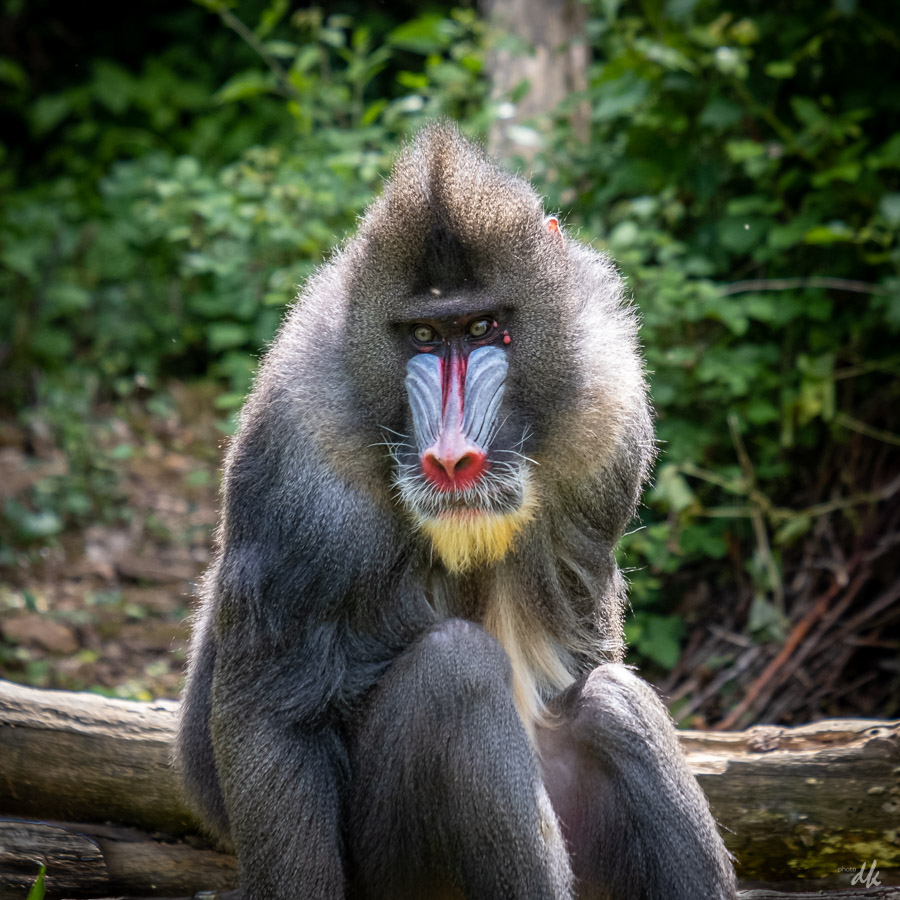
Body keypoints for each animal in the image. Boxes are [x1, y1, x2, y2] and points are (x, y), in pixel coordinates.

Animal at [176, 122, 737, 900]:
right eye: (422, 338)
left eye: (481, 328)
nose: (451, 459)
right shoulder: (301, 458)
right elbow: (272, 710)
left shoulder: (608, 416)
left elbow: (586, 648)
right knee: (456, 670)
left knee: (612, 702)